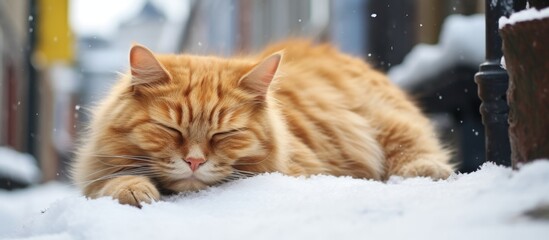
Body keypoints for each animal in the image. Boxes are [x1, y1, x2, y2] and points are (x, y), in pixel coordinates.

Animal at [70, 40, 452, 207]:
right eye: (171, 129)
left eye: (225, 133)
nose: (194, 161)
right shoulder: (94, 173)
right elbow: (109, 182)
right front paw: (133, 188)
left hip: (387, 123)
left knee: (417, 150)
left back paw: (425, 171)